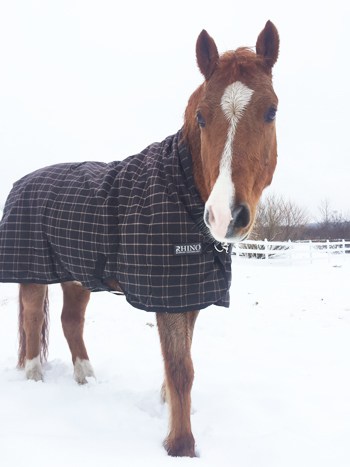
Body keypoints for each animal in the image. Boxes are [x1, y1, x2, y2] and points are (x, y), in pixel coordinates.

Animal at [0, 21, 278, 458]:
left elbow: (180, 359)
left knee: (70, 321)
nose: (226, 215)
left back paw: (86, 378)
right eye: (201, 117)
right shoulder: (167, 294)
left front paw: (168, 408)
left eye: (271, 111)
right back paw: (34, 380)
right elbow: (181, 368)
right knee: (31, 322)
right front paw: (181, 445)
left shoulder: (187, 291)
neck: (182, 188)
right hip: (31, 271)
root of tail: (22, 181)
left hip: (77, 276)